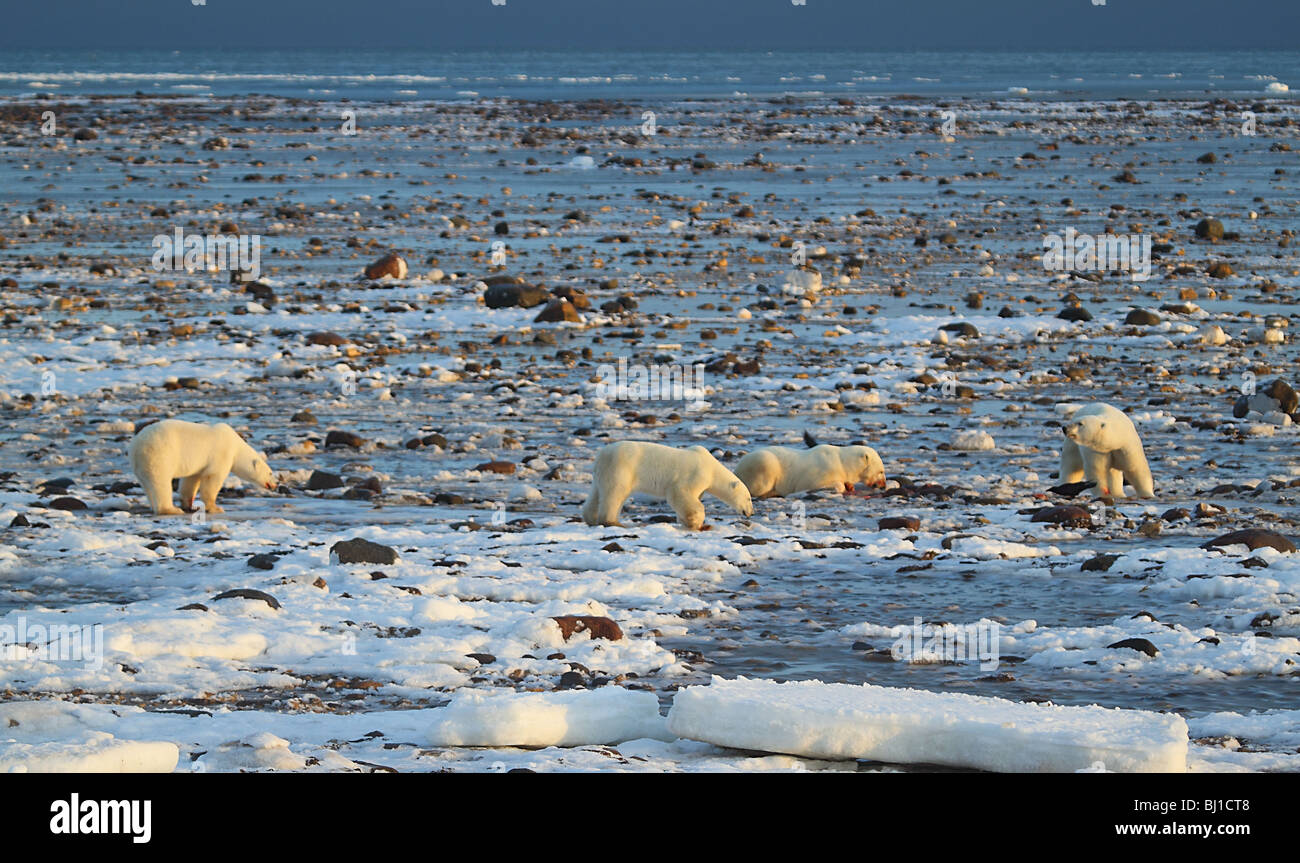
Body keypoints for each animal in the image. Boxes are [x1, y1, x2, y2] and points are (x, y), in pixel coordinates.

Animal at [129, 421, 276, 514]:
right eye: (270, 473)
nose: (275, 485)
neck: (236, 447)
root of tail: (135, 446)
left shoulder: (198, 463)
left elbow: (191, 479)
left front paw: (189, 504)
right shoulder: (221, 454)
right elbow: (213, 478)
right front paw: (216, 508)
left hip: (142, 465)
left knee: (148, 485)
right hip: (159, 455)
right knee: (161, 482)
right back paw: (171, 509)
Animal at [582, 441, 754, 530]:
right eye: (749, 498)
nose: (751, 513)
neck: (712, 468)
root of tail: (601, 455)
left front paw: (686, 521)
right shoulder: (695, 475)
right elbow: (680, 493)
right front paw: (696, 522)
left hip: (603, 473)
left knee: (597, 494)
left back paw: (591, 518)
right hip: (621, 468)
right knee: (615, 493)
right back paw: (613, 522)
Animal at [738, 444, 889, 499]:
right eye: (881, 471)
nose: (883, 485)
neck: (841, 462)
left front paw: (850, 486)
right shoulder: (820, 471)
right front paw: (842, 487)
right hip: (763, 463)